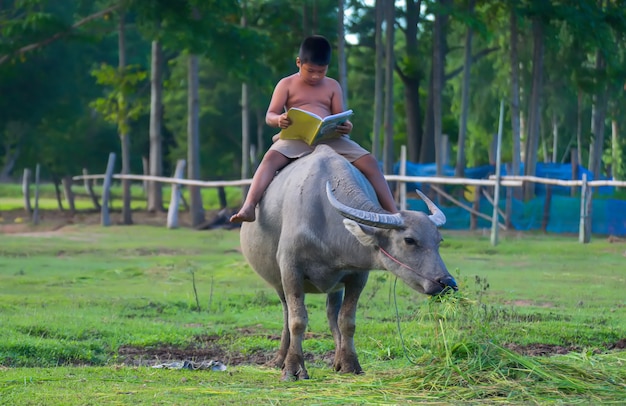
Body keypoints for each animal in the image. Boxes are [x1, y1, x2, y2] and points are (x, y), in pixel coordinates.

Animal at [239, 145, 454, 380]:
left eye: (439, 240)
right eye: (409, 240)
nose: (447, 283)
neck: (325, 220)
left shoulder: (357, 276)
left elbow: (347, 320)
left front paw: (350, 364)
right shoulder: (290, 269)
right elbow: (297, 320)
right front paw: (293, 368)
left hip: (335, 286)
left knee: (332, 313)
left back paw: (337, 360)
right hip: (278, 282)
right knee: (287, 312)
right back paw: (279, 359)